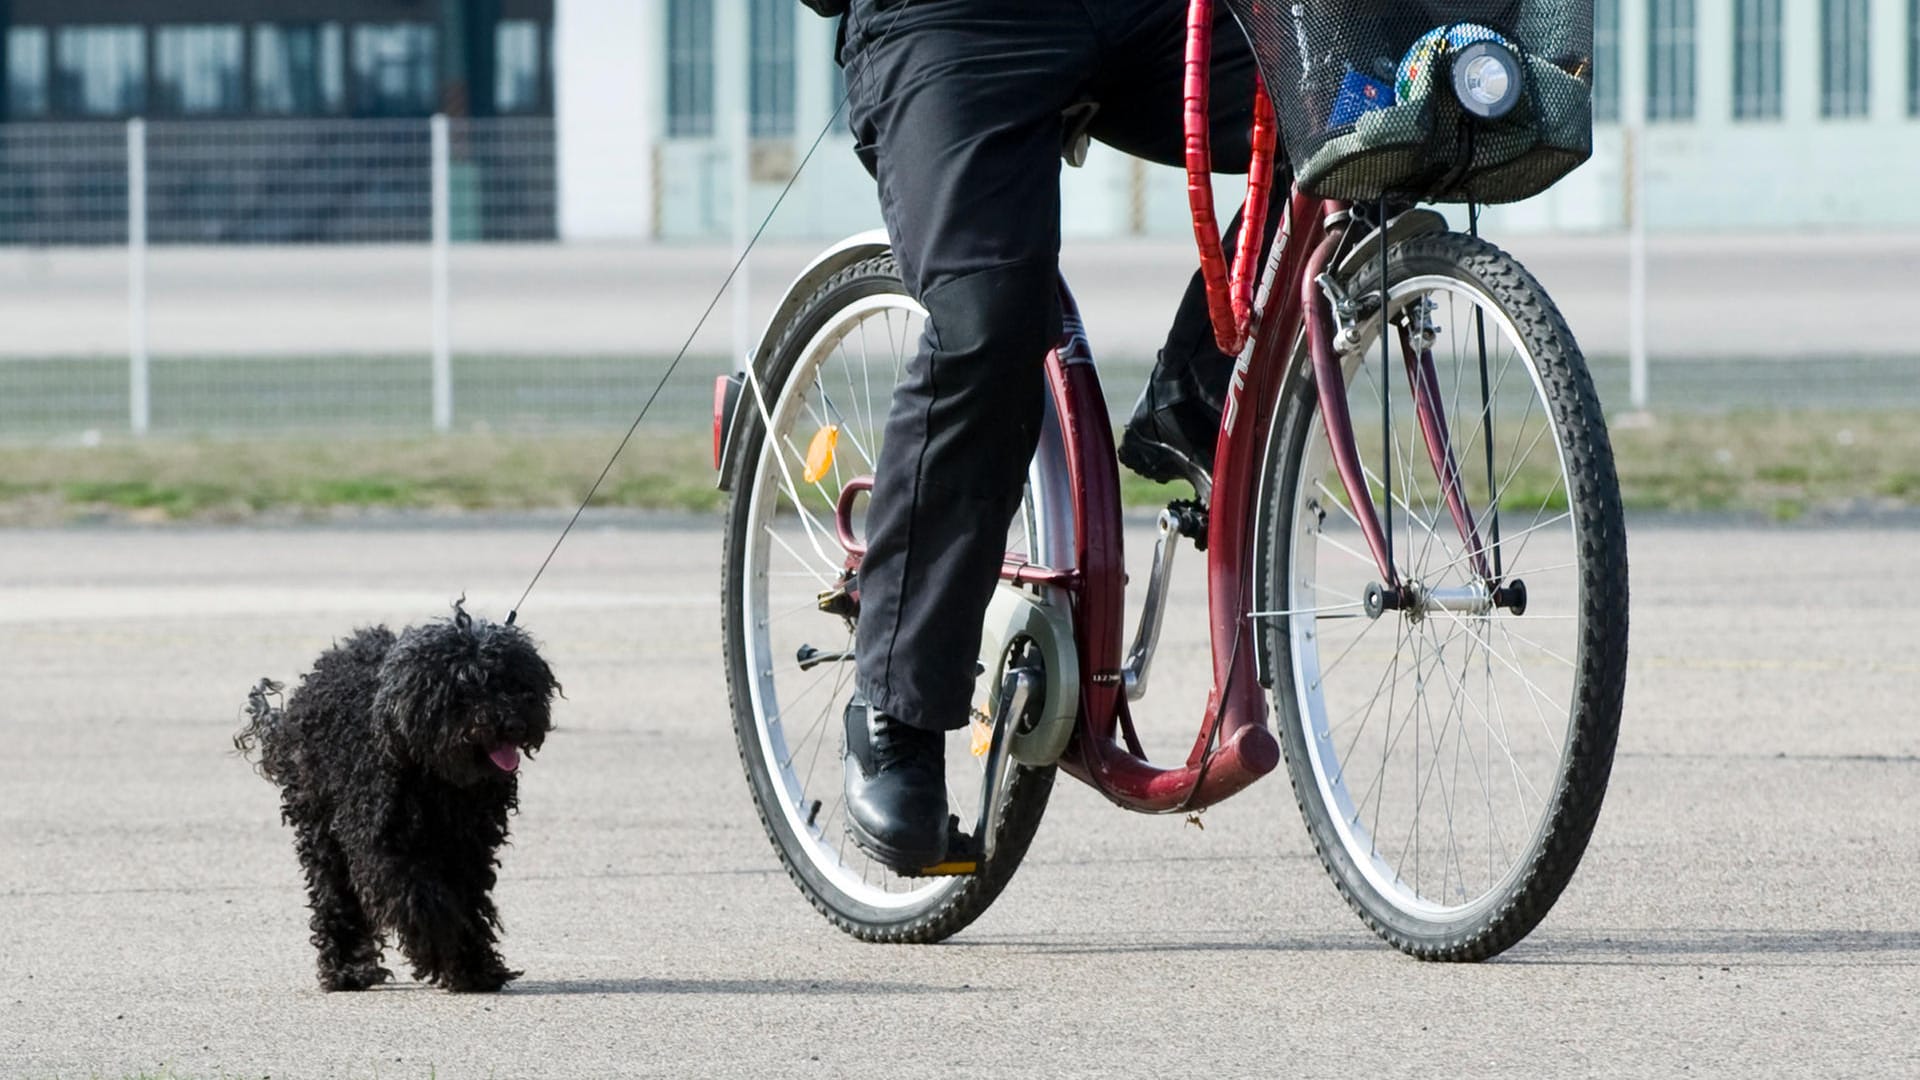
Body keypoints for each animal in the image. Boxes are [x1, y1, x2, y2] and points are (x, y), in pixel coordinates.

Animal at [234, 599, 556, 991]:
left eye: (514, 681)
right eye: (467, 686)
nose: (513, 723)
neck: (436, 777)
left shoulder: (469, 847)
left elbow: (466, 901)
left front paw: (473, 967)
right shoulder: (383, 843)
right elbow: (420, 900)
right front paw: (442, 950)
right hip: (321, 829)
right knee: (335, 896)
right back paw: (346, 971)